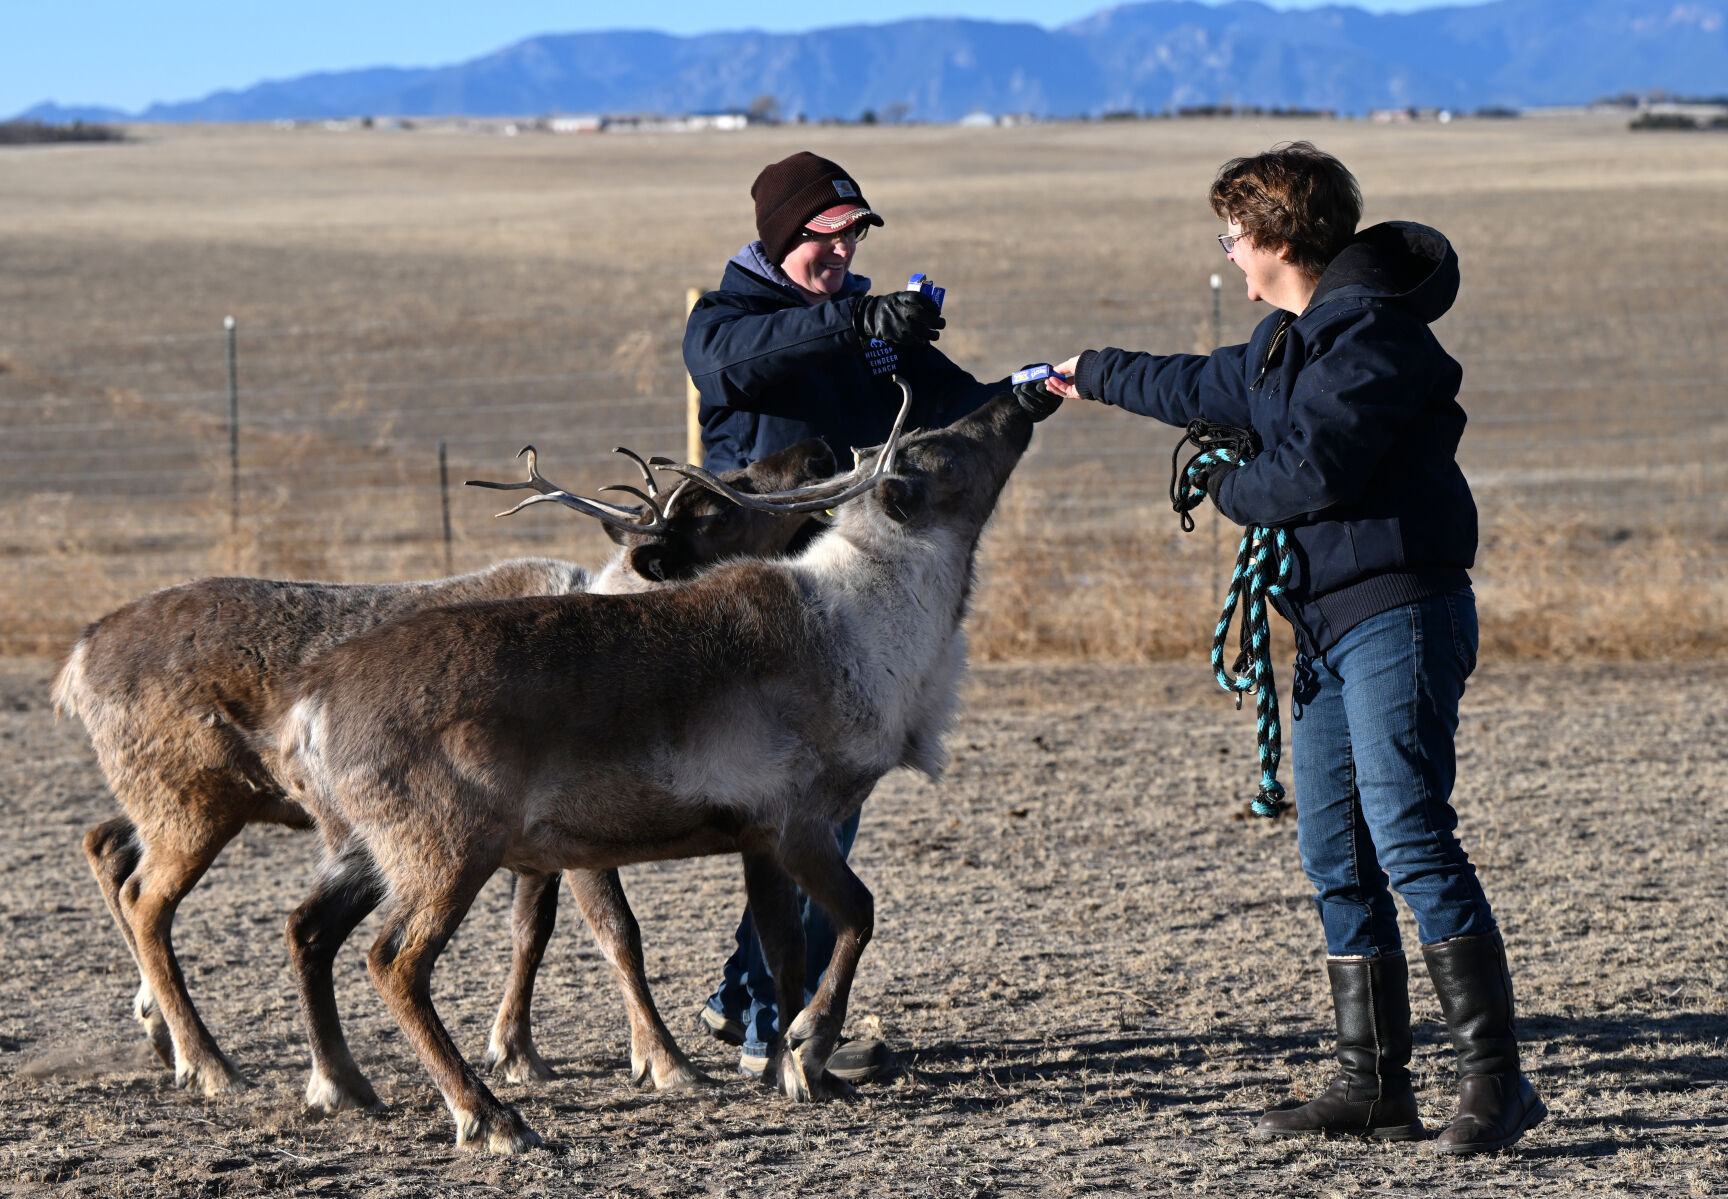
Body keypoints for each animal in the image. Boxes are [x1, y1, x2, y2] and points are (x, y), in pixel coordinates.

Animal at [51, 437, 835, 1102]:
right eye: (718, 505)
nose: (813, 449)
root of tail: (77, 659)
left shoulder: (535, 843)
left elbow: (532, 931)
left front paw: (516, 1050)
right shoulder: (582, 836)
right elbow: (618, 932)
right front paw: (664, 1060)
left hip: (178, 800)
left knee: (106, 845)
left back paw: (168, 1033)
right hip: (193, 803)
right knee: (147, 901)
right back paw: (207, 1062)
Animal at [273, 387, 1037, 1152]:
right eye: (943, 451)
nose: (1018, 398)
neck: (867, 629)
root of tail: (310, 703)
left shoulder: (758, 838)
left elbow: (785, 950)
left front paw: (795, 1069)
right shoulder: (799, 822)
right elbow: (857, 915)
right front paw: (810, 1046)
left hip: (364, 850)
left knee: (311, 928)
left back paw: (344, 1085)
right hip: (448, 849)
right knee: (394, 961)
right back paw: (488, 1116)